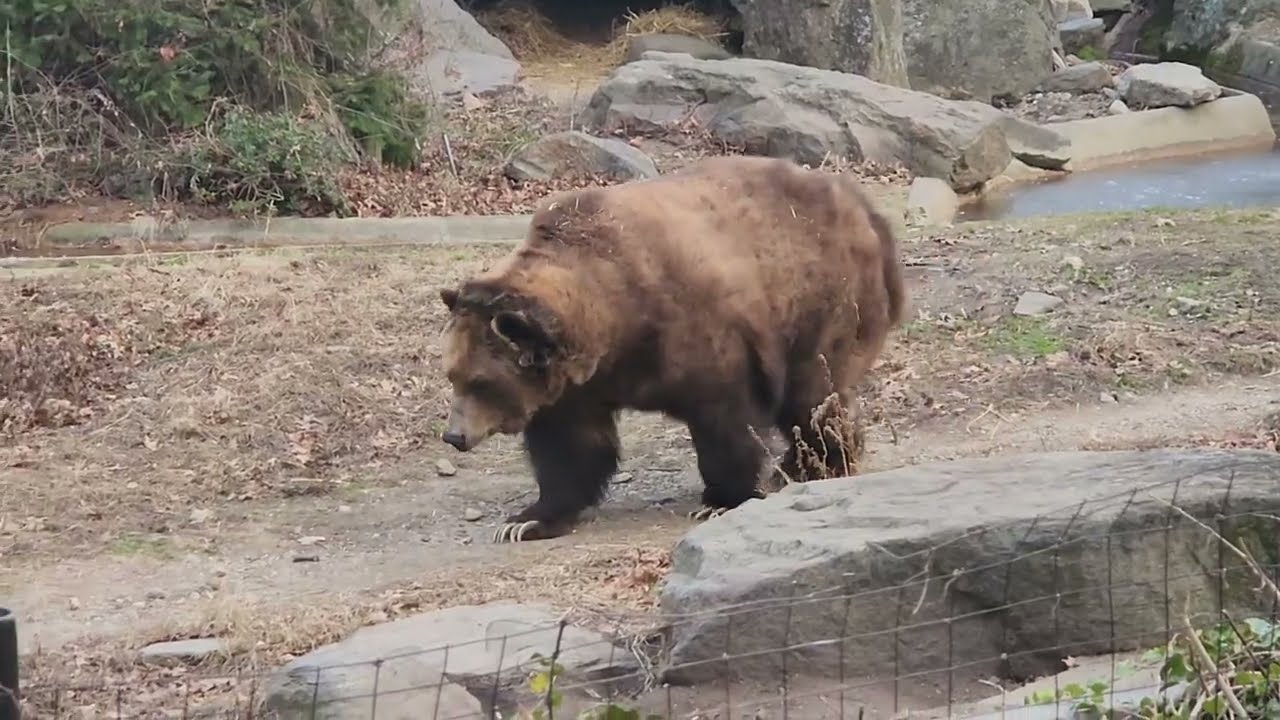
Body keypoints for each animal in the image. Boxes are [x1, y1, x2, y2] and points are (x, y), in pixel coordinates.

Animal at [437, 155, 908, 543]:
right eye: (452, 375)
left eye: (481, 382)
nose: (454, 435)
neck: (616, 320)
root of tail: (868, 212)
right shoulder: (577, 387)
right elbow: (569, 449)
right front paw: (526, 520)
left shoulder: (699, 332)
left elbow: (725, 421)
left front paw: (721, 498)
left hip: (820, 300)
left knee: (814, 393)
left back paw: (816, 463)